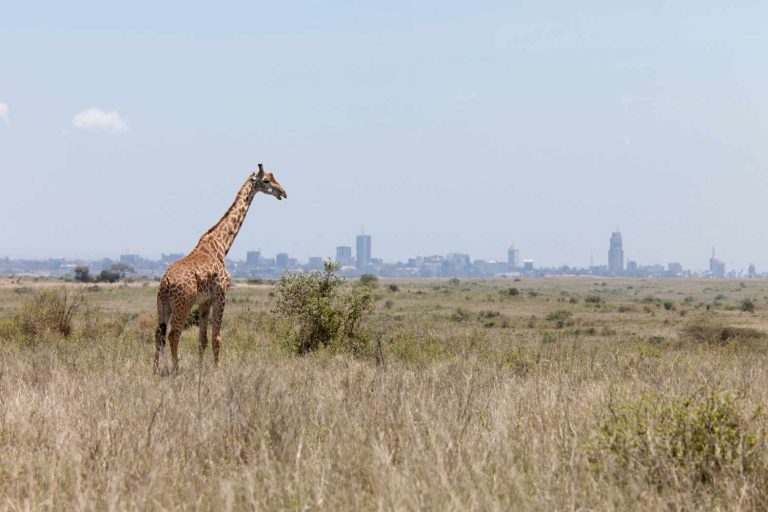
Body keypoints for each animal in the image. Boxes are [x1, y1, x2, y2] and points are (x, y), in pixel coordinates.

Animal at [153, 164, 287, 374]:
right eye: (266, 180)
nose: (283, 192)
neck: (222, 245)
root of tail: (165, 283)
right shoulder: (221, 294)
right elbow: (217, 338)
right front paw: (218, 369)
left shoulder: (204, 301)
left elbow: (203, 339)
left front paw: (201, 369)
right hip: (183, 304)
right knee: (174, 334)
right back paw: (176, 370)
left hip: (162, 305)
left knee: (158, 334)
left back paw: (155, 370)